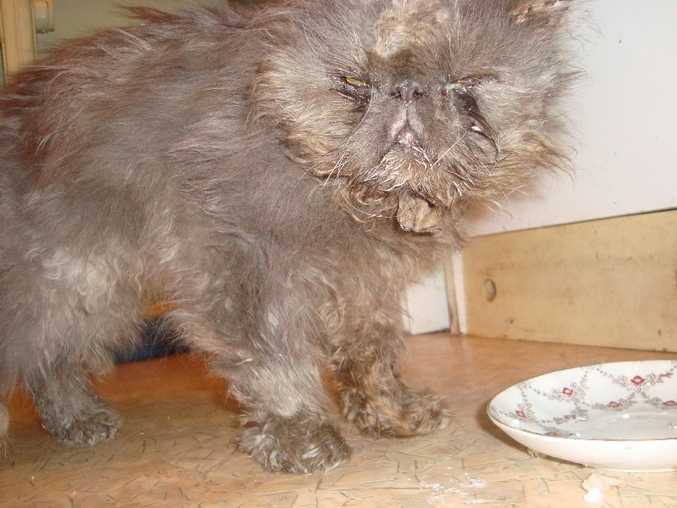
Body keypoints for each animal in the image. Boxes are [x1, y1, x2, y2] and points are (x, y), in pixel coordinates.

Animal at [0, 0, 576, 473]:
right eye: (352, 81)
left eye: (463, 81)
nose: (409, 89)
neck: (359, 204)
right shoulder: (244, 265)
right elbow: (276, 364)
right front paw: (302, 437)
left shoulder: (364, 281)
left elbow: (372, 353)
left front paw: (391, 415)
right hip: (61, 284)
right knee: (37, 356)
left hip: (94, 293)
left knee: (53, 366)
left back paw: (80, 422)